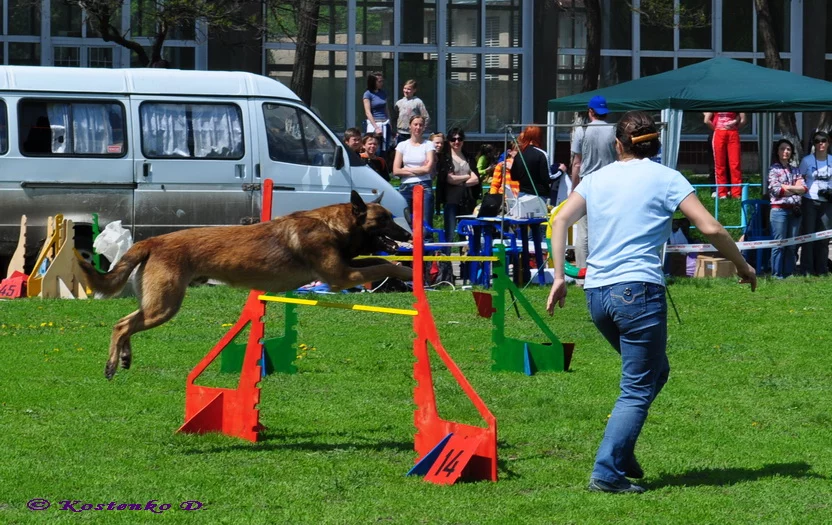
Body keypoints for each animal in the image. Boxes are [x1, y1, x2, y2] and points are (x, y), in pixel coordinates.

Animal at [79, 191, 413, 380]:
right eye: (385, 219)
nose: (409, 236)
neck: (333, 225)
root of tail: (152, 240)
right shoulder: (340, 277)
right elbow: (383, 264)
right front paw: (407, 272)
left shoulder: (347, 268)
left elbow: (373, 262)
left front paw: (405, 269)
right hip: (165, 305)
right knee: (123, 325)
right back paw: (111, 365)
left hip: (157, 303)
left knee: (125, 322)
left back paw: (124, 357)